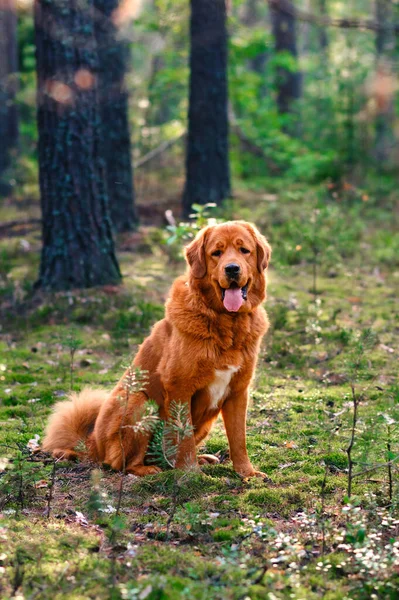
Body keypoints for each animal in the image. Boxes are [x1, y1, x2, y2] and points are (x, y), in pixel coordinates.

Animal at [43, 220, 272, 478]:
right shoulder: (180, 388)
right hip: (139, 403)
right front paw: (191, 474)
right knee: (120, 464)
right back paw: (150, 469)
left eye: (244, 251)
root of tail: (93, 444)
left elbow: (238, 439)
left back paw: (197, 460)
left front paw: (246, 473)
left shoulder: (237, 392)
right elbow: (184, 437)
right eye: (217, 253)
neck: (226, 323)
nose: (232, 269)